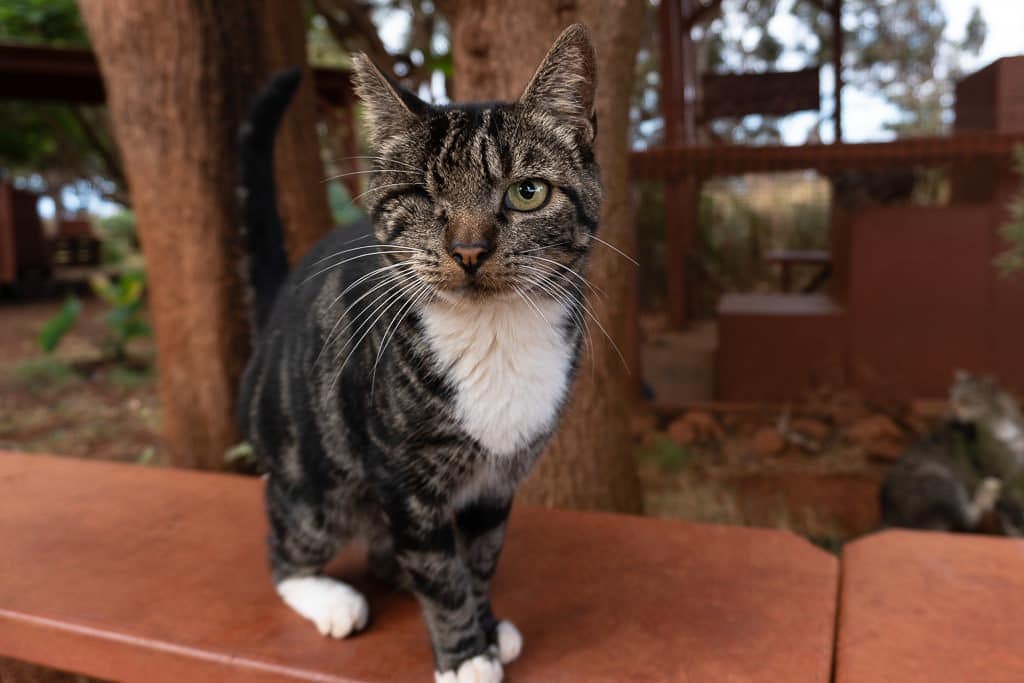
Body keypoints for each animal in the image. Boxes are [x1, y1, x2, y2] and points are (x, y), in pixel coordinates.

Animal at [236, 24, 602, 679]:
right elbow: (440, 574)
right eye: (420, 195)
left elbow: (478, 562)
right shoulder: (403, 477)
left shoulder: (496, 483)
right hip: (320, 478)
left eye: (527, 192)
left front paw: (486, 629)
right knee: (286, 543)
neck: (493, 335)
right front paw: (465, 656)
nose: (468, 250)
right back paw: (330, 597)